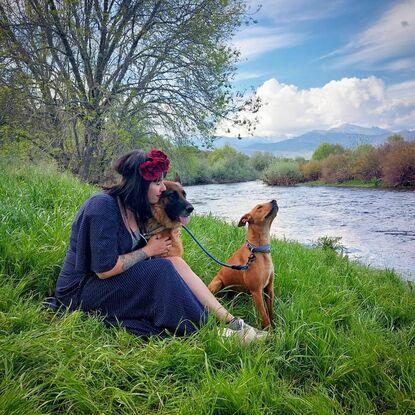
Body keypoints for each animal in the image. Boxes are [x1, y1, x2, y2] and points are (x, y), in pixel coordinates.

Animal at [208, 200, 280, 330]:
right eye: (259, 207)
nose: (274, 200)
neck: (258, 250)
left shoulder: (269, 288)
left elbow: (270, 312)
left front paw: (275, 327)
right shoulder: (256, 291)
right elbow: (264, 315)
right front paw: (269, 332)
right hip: (217, 283)